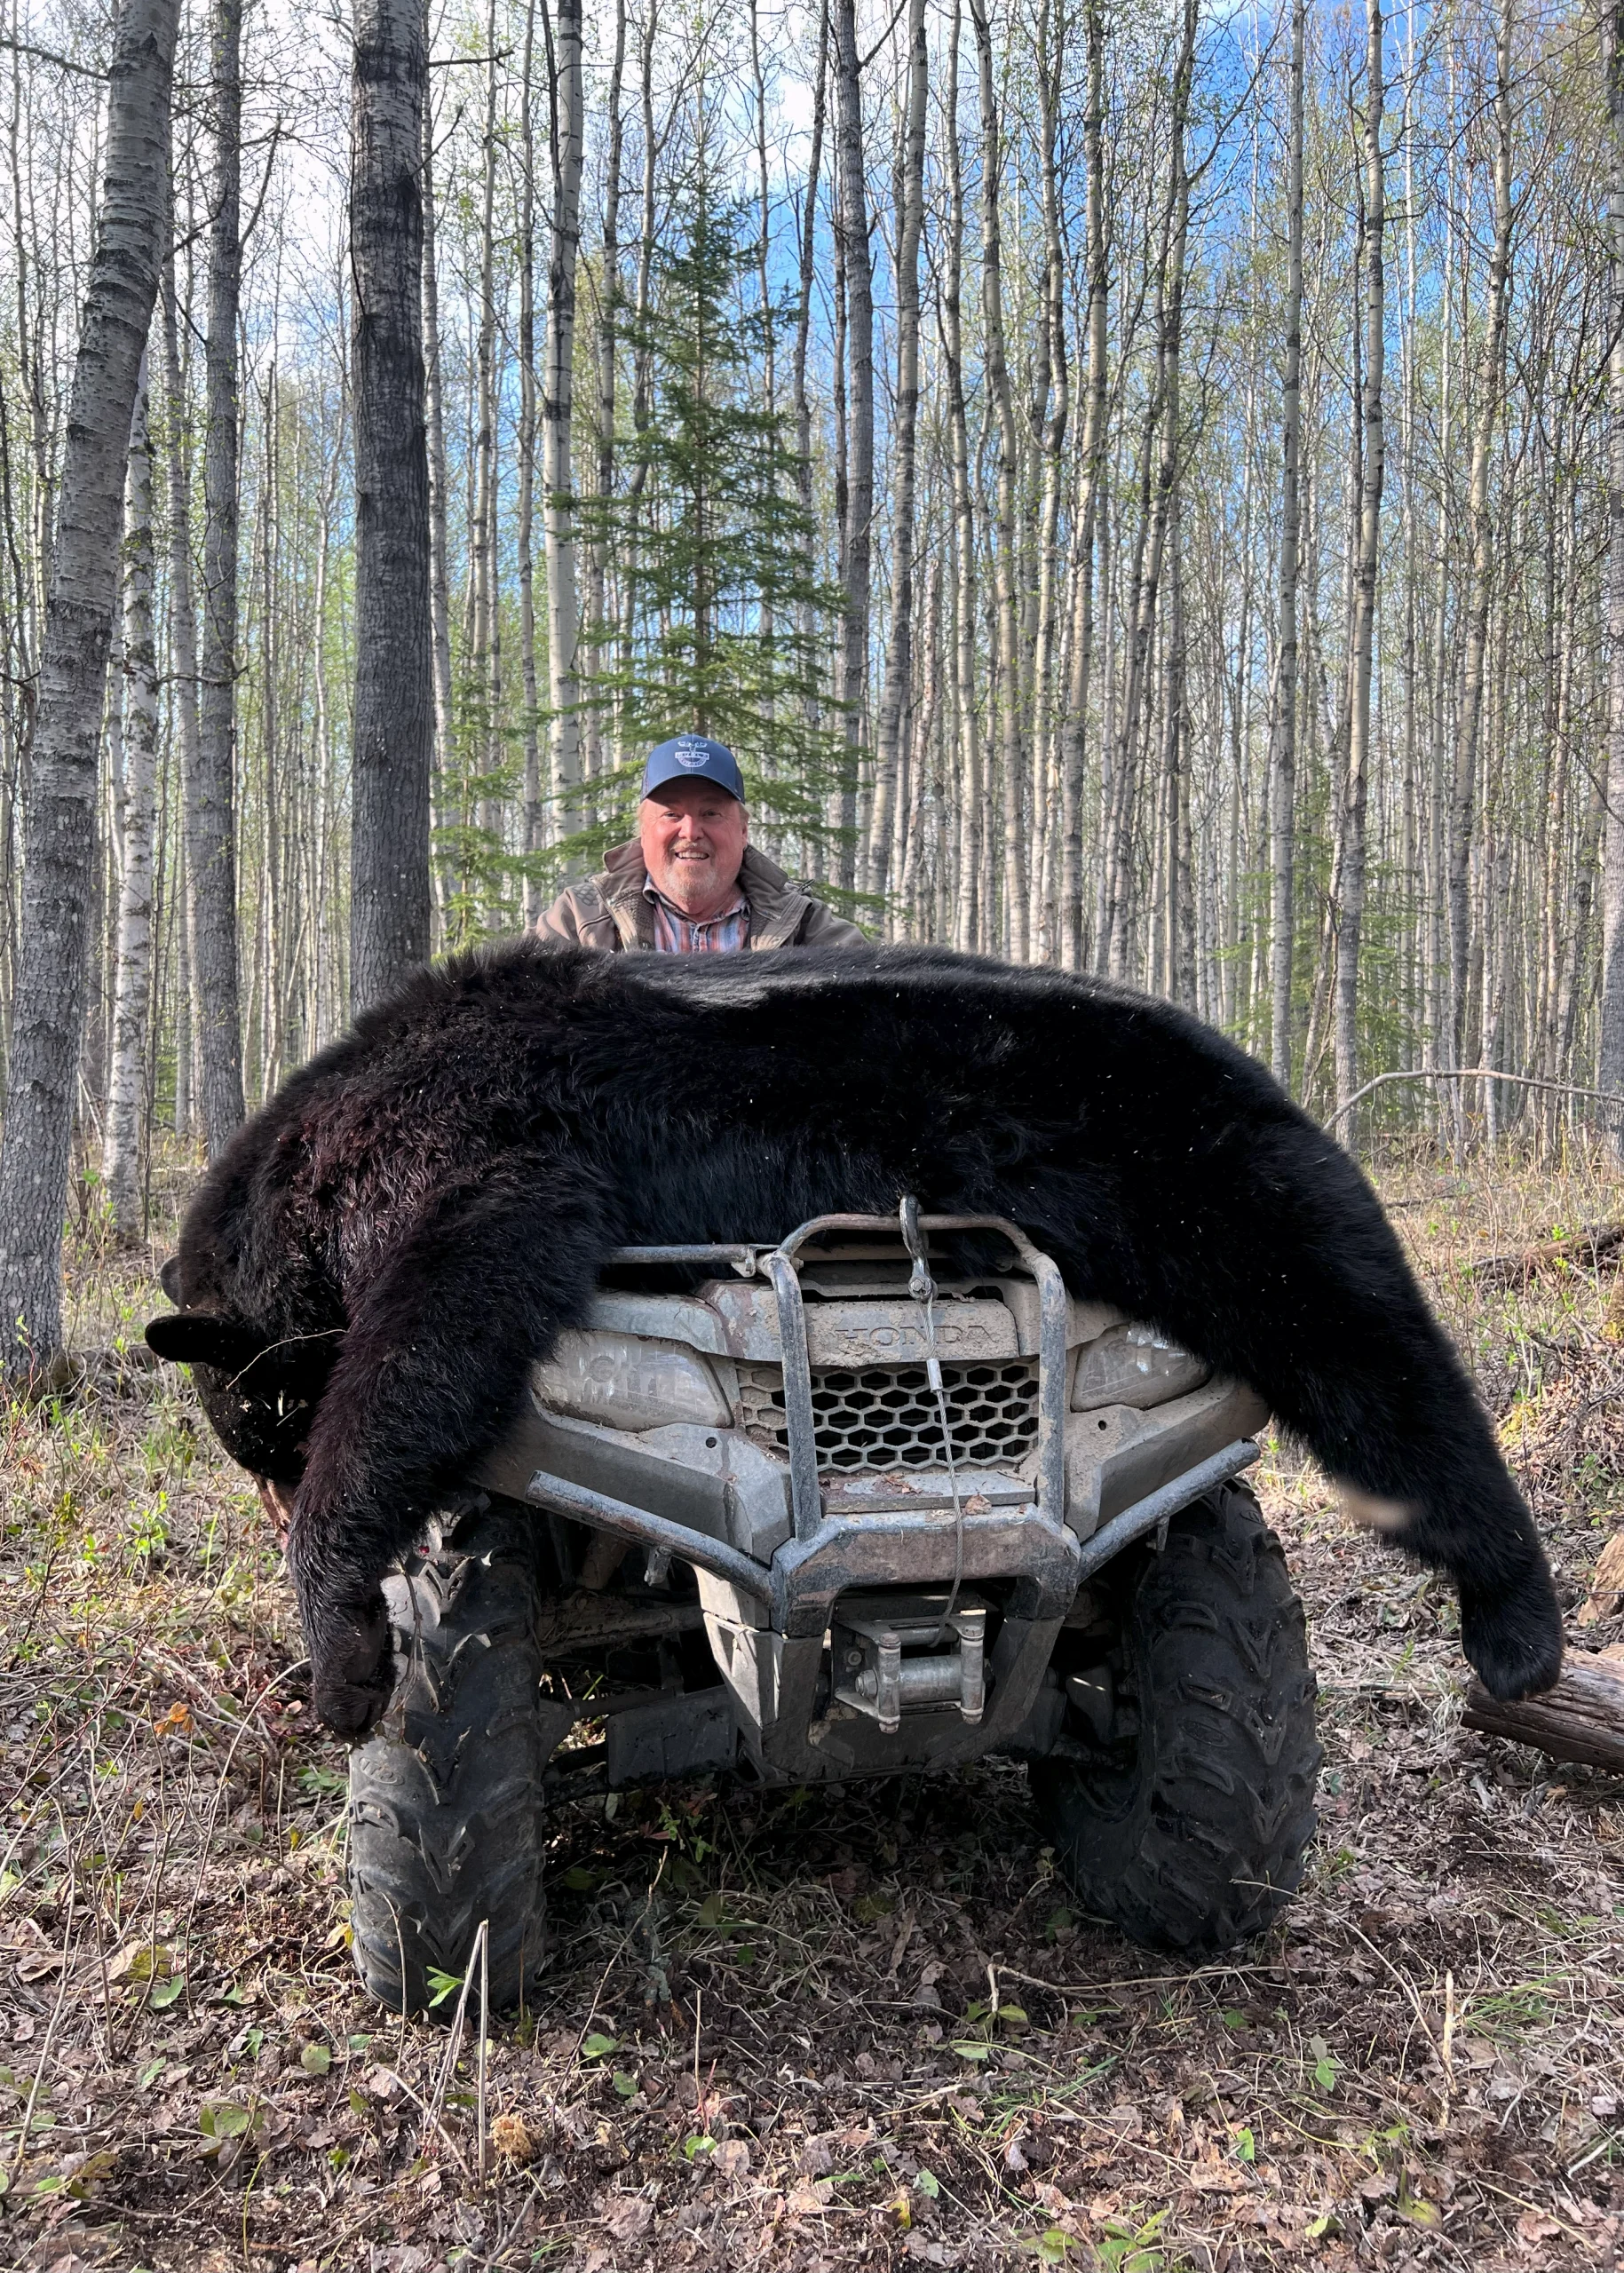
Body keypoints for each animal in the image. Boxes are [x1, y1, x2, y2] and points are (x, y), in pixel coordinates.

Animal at [144, 937, 1563, 1735]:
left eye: (257, 1425)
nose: (265, 1485)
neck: (304, 1168)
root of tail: (1258, 1063)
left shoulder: (470, 1138)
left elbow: (439, 1324)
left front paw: (339, 1659)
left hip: (1216, 1185)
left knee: (1379, 1362)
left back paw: (1518, 1630)